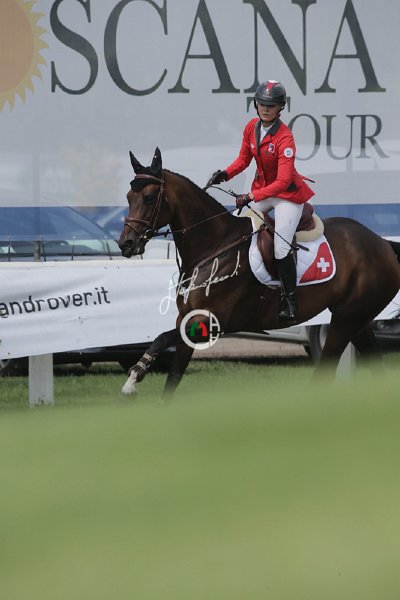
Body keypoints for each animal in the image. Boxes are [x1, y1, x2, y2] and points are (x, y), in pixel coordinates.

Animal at [118, 147, 400, 398]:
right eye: (128, 197)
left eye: (148, 198)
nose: (126, 244)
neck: (215, 245)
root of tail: (383, 243)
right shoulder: (189, 319)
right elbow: (170, 369)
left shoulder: (209, 322)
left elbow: (163, 347)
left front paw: (133, 380)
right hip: (358, 319)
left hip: (346, 318)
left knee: (326, 370)